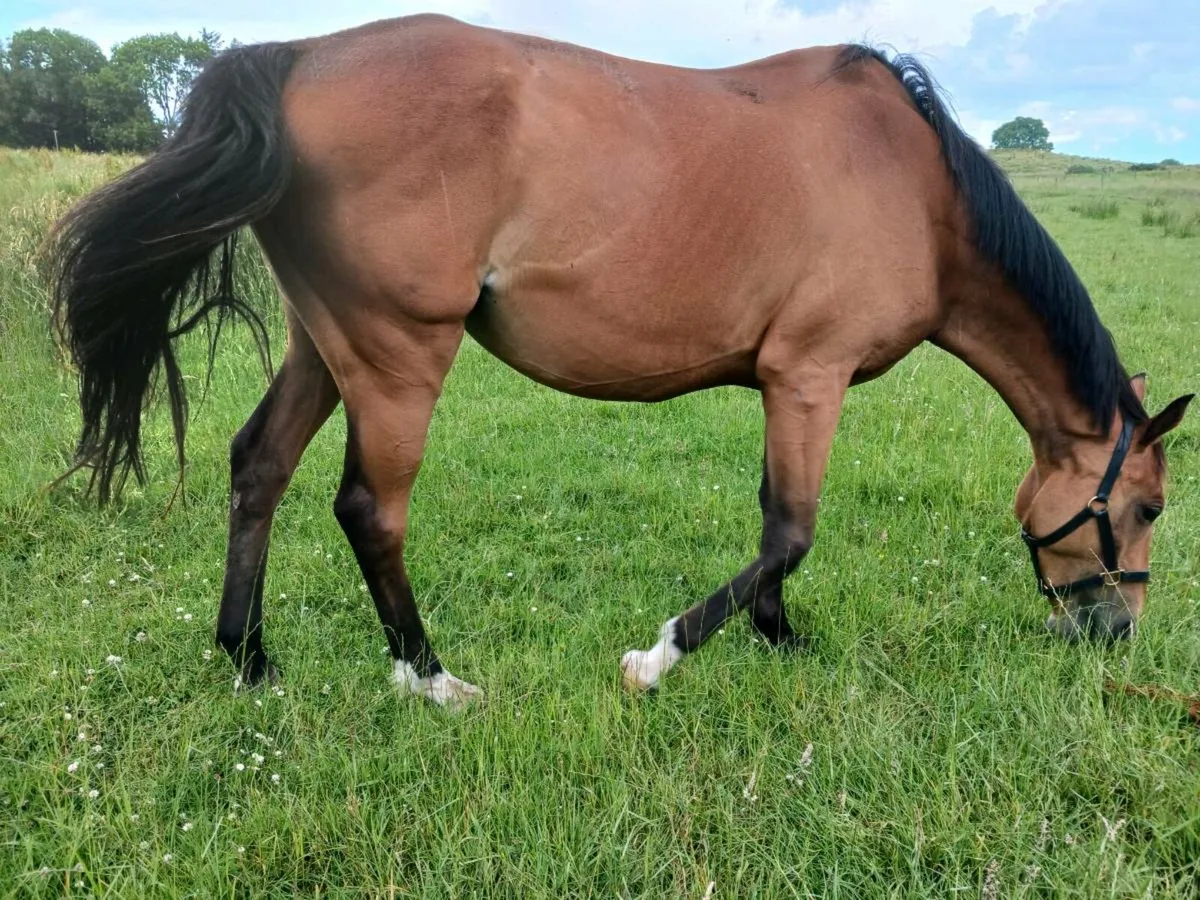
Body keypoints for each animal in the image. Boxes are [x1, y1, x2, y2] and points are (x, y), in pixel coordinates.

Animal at [47, 15, 1192, 708]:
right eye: (1143, 508)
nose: (1116, 635)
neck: (917, 190)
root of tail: (293, 59)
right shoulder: (808, 377)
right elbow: (791, 532)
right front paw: (663, 656)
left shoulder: (786, 386)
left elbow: (777, 534)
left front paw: (780, 639)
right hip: (396, 354)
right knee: (369, 511)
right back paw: (430, 678)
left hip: (323, 348)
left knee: (260, 467)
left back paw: (249, 656)